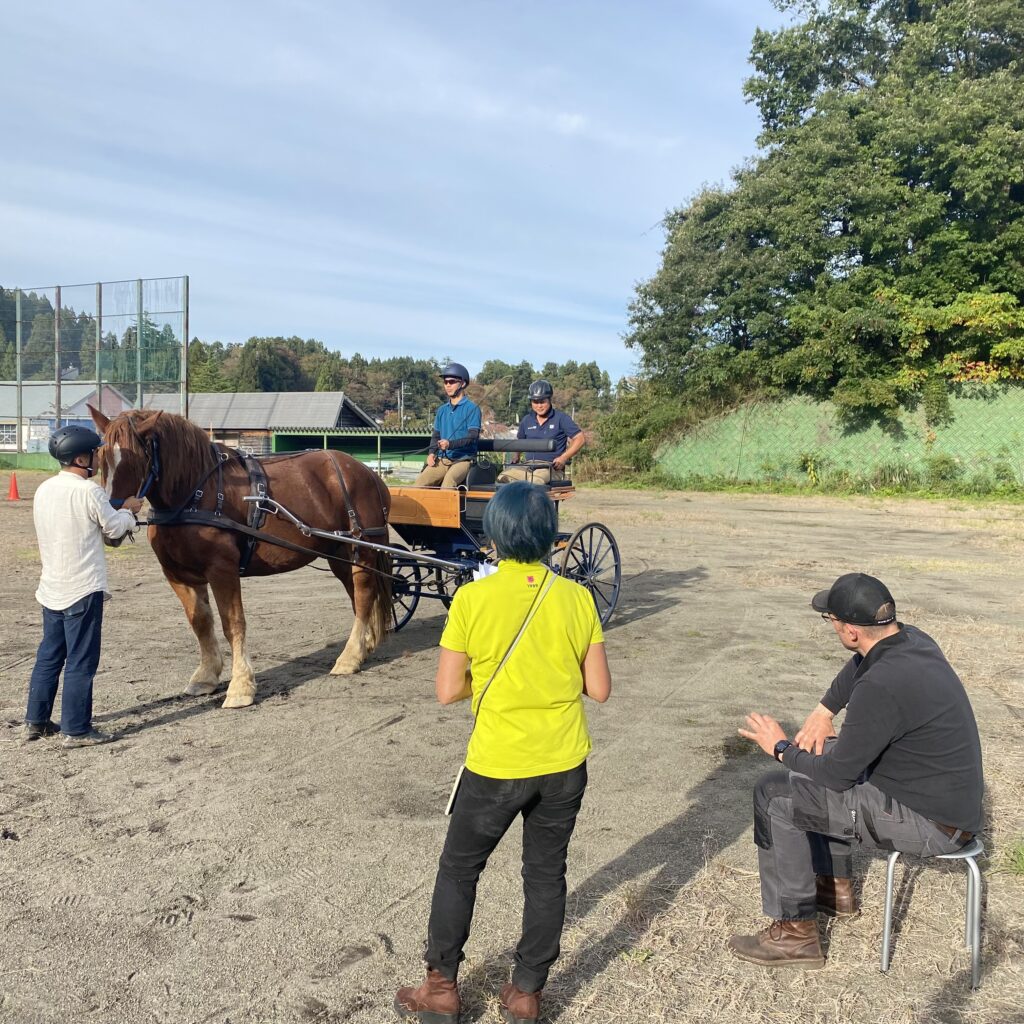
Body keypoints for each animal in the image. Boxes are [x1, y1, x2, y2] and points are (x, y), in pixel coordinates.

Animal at [89, 403, 391, 708]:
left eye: (137, 458)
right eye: (101, 456)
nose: (109, 525)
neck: (197, 492)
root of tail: (366, 473)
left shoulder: (222, 570)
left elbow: (232, 624)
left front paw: (240, 687)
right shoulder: (177, 574)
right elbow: (200, 622)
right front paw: (206, 676)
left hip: (364, 550)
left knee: (363, 596)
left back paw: (349, 657)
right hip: (340, 554)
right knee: (357, 598)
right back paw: (363, 645)